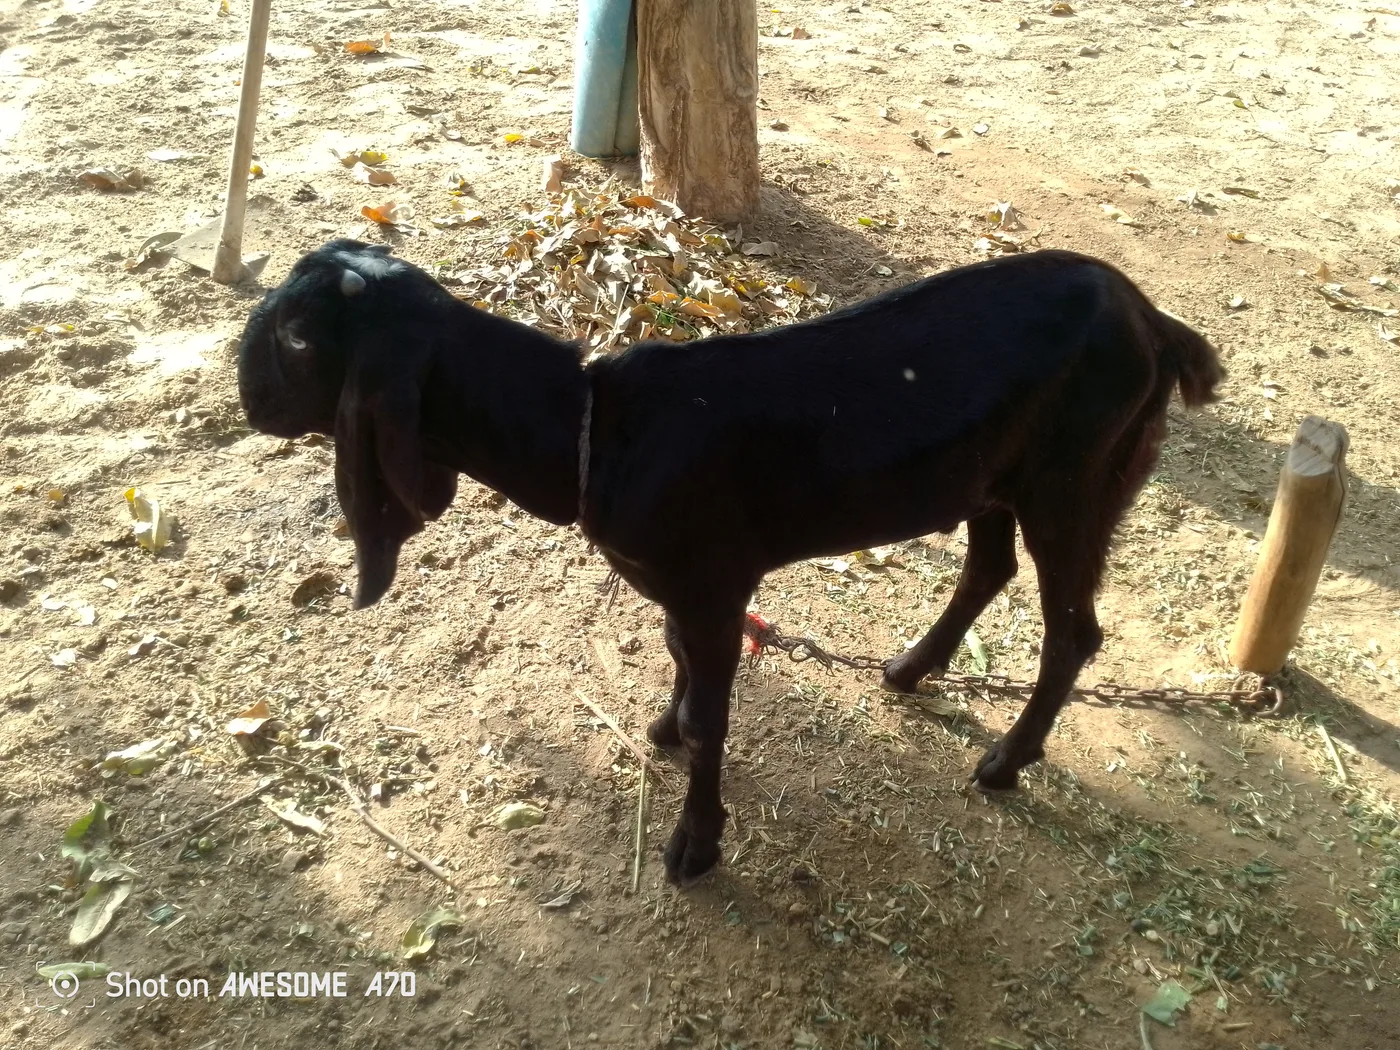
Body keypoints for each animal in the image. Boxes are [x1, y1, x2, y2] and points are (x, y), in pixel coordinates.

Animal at [238, 238, 1223, 885]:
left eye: (298, 338)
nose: (245, 386)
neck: (594, 428)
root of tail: (1153, 322)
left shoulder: (715, 584)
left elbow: (716, 717)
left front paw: (696, 844)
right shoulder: (686, 592)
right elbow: (681, 668)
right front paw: (665, 728)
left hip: (1078, 478)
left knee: (1073, 631)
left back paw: (1006, 762)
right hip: (990, 477)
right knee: (990, 570)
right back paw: (912, 668)